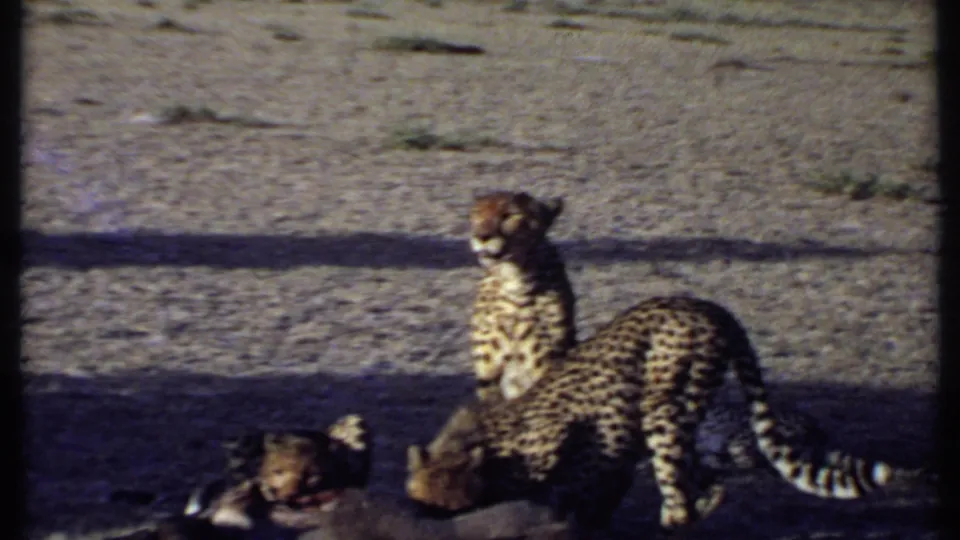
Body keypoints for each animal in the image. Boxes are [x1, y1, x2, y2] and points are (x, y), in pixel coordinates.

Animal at [406, 295, 897, 537]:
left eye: (449, 507)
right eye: (421, 505)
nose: (428, 528)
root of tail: (710, 307)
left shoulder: (597, 444)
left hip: (666, 405)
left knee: (683, 502)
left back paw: (675, 517)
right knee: (706, 483)